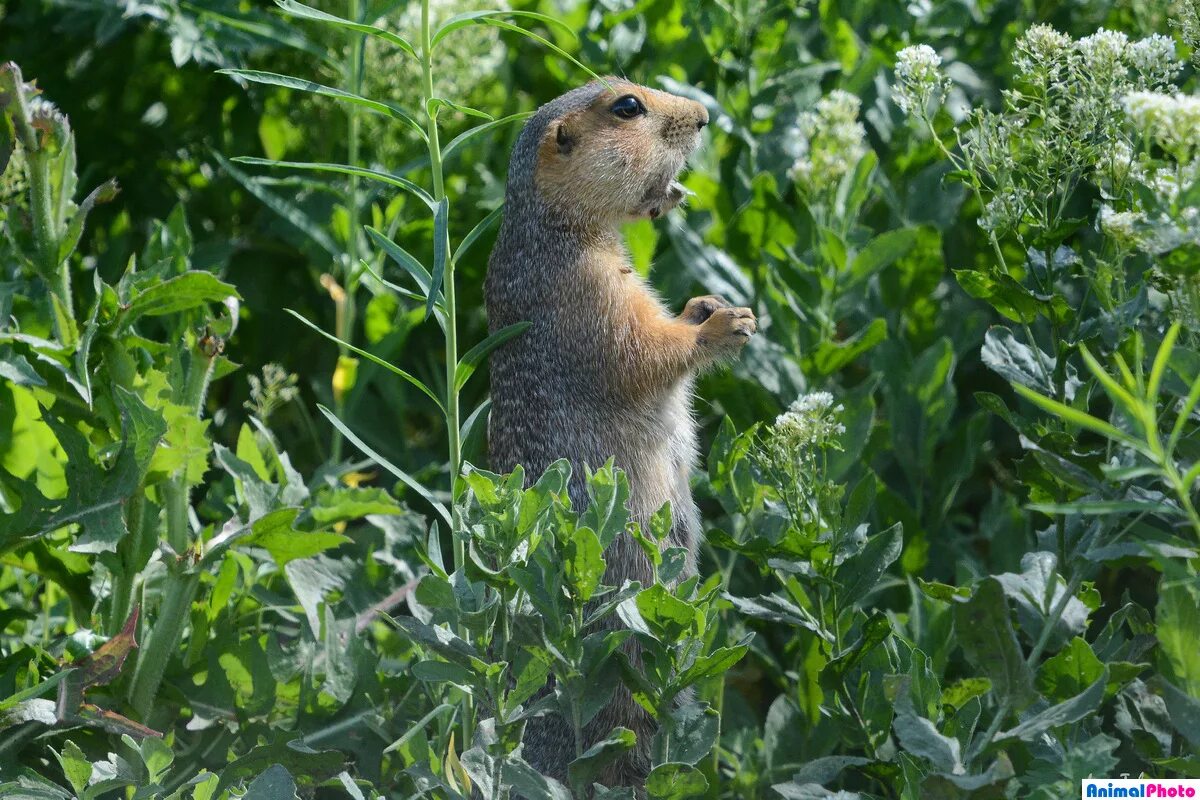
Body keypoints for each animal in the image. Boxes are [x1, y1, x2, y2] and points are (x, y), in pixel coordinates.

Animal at [482, 77, 753, 791]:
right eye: (628, 107)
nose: (705, 115)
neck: (557, 228)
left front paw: (705, 304)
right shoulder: (590, 293)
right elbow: (642, 348)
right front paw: (723, 324)